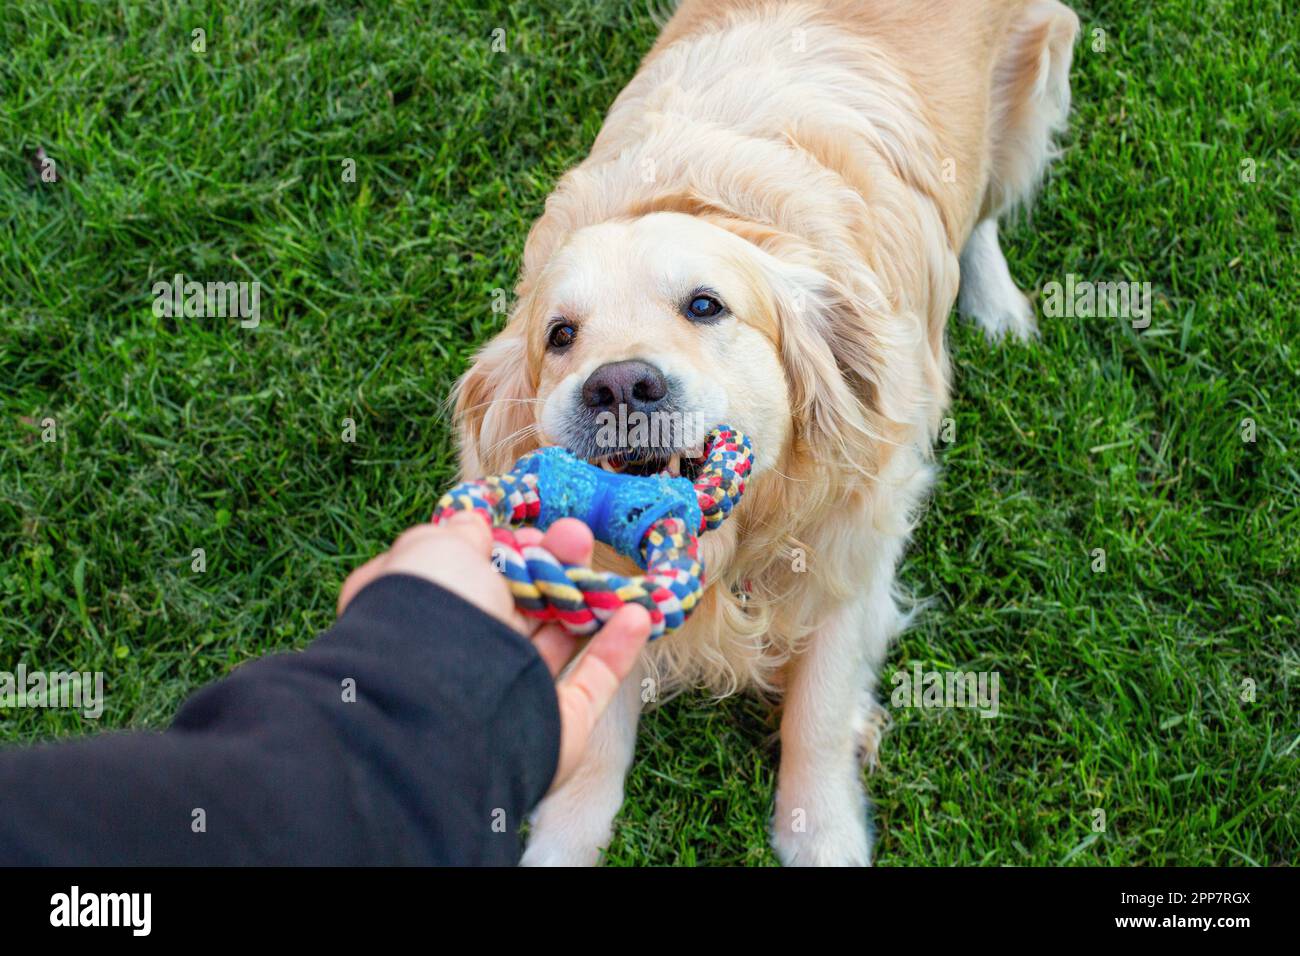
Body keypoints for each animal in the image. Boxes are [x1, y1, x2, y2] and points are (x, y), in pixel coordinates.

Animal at [454, 0, 1076, 868]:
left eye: (705, 305)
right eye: (561, 335)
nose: (620, 385)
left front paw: (823, 831)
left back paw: (997, 305)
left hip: (1034, 77)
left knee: (984, 208)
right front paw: (566, 836)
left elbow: (818, 707)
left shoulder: (858, 540)